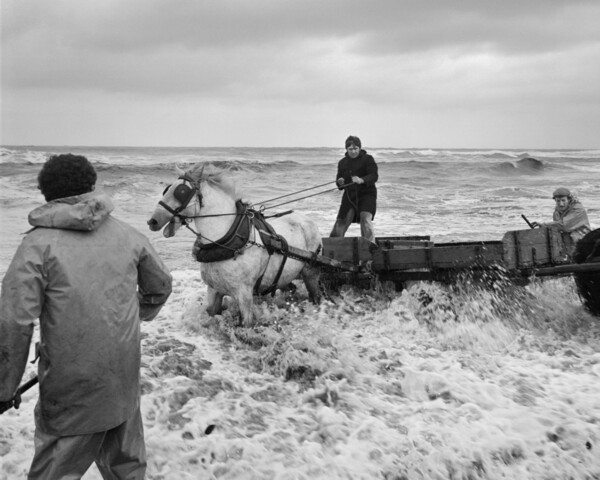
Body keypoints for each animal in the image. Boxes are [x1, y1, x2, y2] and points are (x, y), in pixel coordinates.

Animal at [147, 165, 322, 326]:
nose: (152, 221)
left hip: (310, 273)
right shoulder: (213, 290)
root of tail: (307, 220)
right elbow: (212, 312)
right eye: (167, 189)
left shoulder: (244, 295)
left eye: (181, 192)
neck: (229, 242)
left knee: (315, 294)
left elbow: (246, 323)